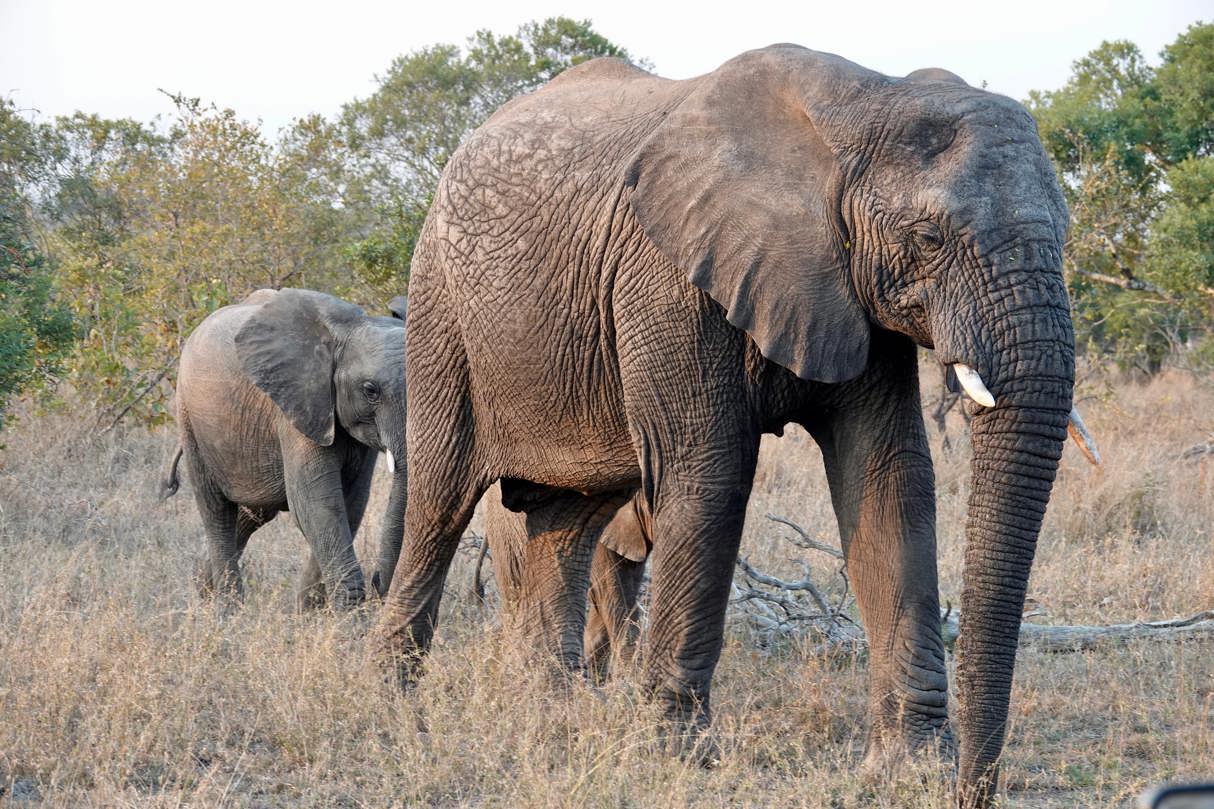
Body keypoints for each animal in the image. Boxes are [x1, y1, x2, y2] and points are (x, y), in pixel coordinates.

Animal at [163, 288, 408, 609]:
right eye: (370, 390)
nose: (379, 583)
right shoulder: (298, 406)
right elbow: (316, 503)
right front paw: (347, 613)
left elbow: (351, 501)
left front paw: (309, 611)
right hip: (190, 419)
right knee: (217, 513)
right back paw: (227, 610)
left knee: (250, 514)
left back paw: (202, 588)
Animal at [373, 45, 1100, 806]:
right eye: (928, 238)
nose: (972, 791)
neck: (864, 103)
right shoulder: (666, 278)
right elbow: (711, 479)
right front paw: (676, 755)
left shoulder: (850, 290)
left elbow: (889, 480)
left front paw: (910, 769)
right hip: (440, 308)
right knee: (440, 504)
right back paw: (396, 705)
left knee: (566, 521)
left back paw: (552, 716)